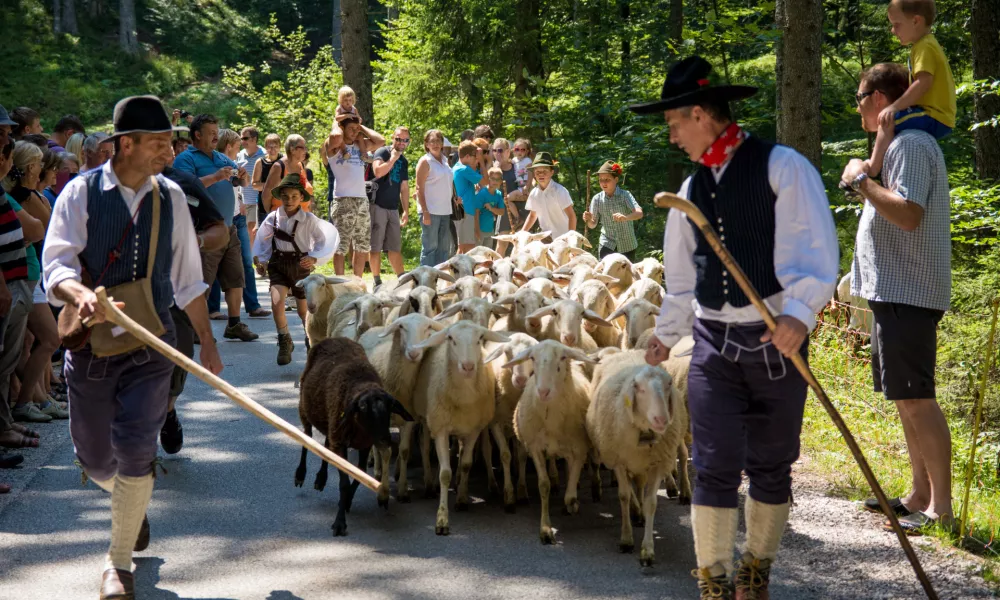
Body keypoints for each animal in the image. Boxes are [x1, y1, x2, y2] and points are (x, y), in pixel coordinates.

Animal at [294, 336, 412, 536]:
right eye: (363, 407)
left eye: (390, 408)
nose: (385, 439)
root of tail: (336, 338)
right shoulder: (341, 442)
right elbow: (343, 483)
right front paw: (339, 522)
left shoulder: (363, 444)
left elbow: (360, 473)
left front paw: (348, 500)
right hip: (305, 408)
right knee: (307, 438)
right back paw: (301, 474)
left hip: (331, 421)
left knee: (326, 445)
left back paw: (321, 478)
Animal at [410, 324, 512, 536]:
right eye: (451, 338)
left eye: (480, 338)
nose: (468, 367)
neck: (465, 398)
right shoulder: (440, 429)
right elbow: (444, 473)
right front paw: (442, 519)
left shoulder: (473, 429)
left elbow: (465, 464)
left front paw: (462, 499)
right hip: (427, 419)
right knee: (425, 448)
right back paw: (429, 484)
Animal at [508, 342, 600, 544]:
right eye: (532, 358)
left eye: (562, 358)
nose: (543, 392)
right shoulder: (535, 447)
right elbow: (544, 486)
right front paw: (545, 529)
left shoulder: (580, 449)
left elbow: (570, 493)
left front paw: (572, 504)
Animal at [588, 350, 692, 564]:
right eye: (638, 387)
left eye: (669, 384)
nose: (662, 419)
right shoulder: (619, 461)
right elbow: (624, 496)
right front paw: (626, 539)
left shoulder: (657, 464)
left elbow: (651, 502)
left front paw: (647, 550)